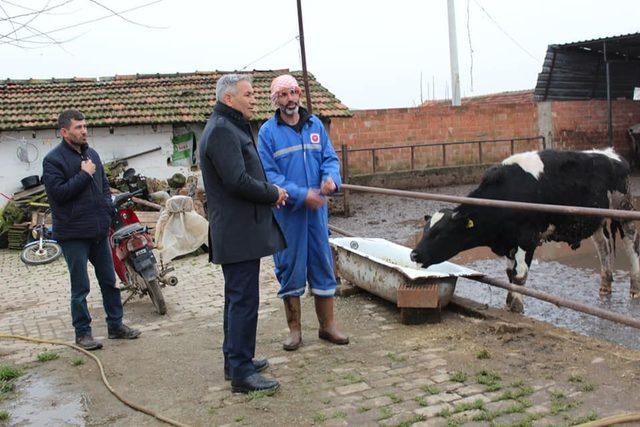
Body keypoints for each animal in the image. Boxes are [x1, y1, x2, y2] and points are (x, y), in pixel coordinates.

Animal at [410, 149, 640, 312]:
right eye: (425, 230)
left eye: (439, 233)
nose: (414, 254)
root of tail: (612, 154)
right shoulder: (509, 241)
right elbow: (509, 273)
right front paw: (508, 302)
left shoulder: (527, 237)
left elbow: (519, 275)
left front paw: (516, 307)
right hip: (595, 220)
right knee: (604, 248)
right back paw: (605, 287)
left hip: (624, 210)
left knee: (632, 246)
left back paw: (634, 290)